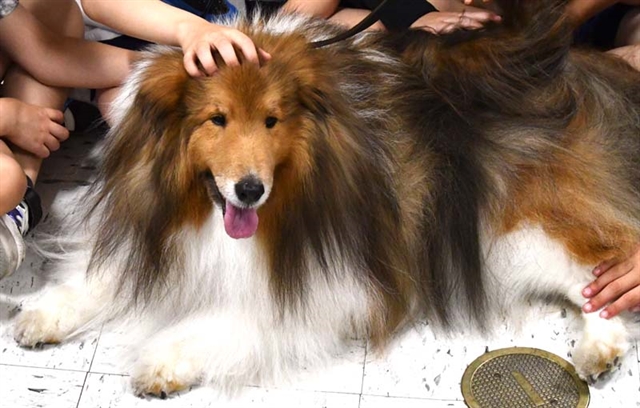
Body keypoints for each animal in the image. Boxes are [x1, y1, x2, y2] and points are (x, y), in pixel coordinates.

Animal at [12, 0, 640, 396]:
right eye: (217, 119)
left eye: (272, 121)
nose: (250, 190)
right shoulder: (153, 235)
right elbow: (101, 278)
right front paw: (40, 314)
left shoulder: (326, 282)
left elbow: (233, 316)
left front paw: (163, 360)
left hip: (517, 226)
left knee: (601, 270)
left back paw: (600, 350)